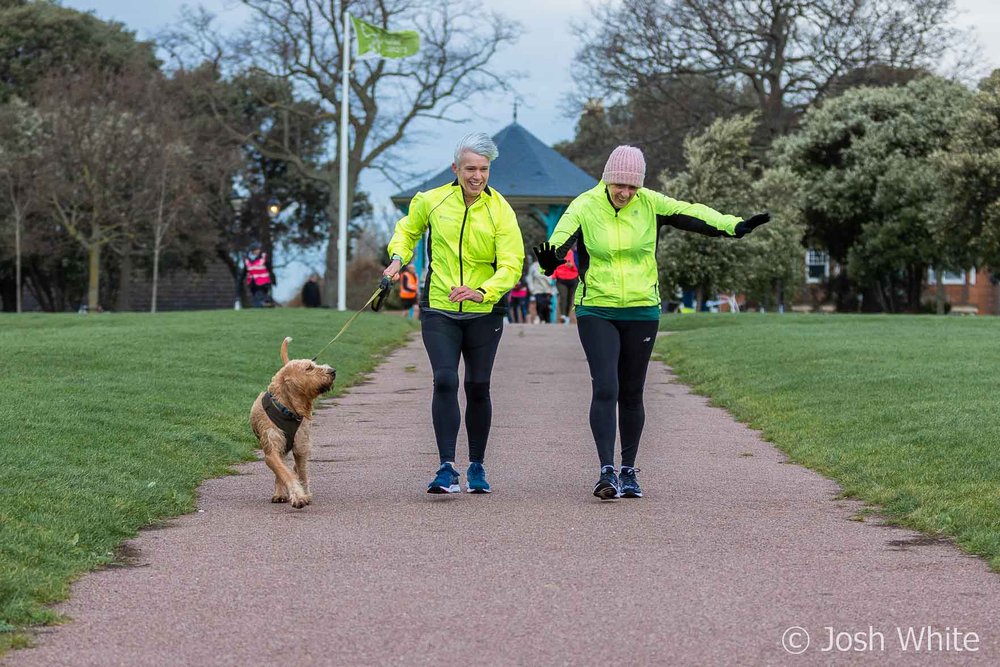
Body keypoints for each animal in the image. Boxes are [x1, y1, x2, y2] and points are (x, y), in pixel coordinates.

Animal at [250, 340, 336, 506]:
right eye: (309, 368)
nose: (333, 371)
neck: (286, 408)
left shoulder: (301, 445)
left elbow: (300, 472)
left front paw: (303, 494)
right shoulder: (272, 449)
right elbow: (284, 472)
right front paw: (297, 495)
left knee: (299, 468)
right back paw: (279, 493)